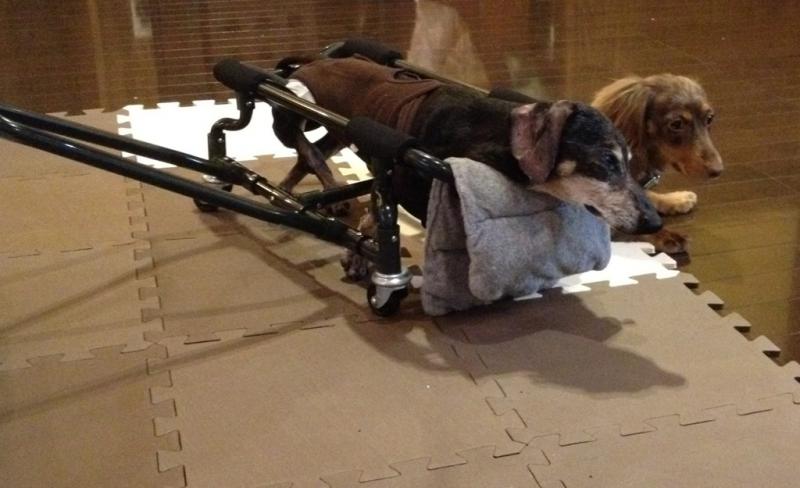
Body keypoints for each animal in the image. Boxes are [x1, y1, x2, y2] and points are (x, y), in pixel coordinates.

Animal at [272, 56, 662, 278]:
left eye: (629, 162)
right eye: (607, 161)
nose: (655, 222)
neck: (487, 131)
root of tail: (304, 64)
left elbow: (371, 209)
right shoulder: (396, 178)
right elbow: (377, 212)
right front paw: (361, 257)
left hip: (339, 131)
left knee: (312, 153)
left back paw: (305, 190)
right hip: (295, 115)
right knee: (304, 146)